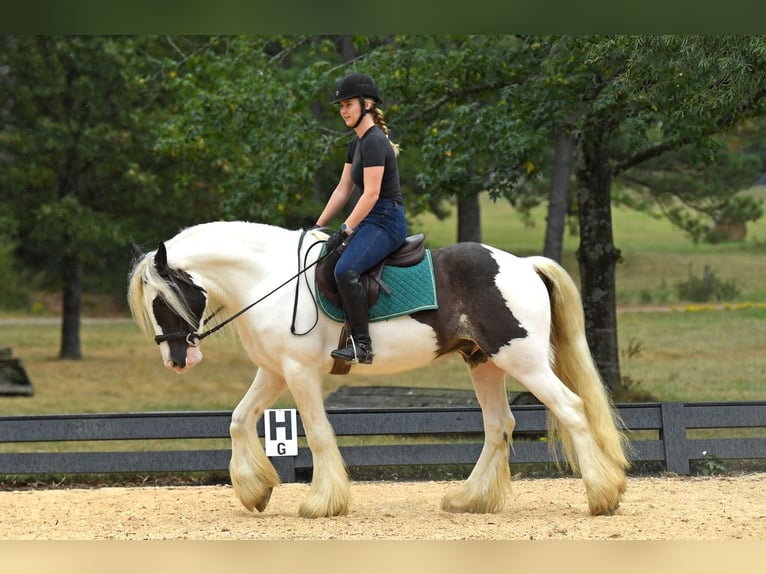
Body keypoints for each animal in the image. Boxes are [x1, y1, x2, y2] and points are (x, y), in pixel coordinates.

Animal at [127, 223, 632, 520]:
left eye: (162, 300)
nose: (177, 360)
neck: (268, 279)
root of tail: (522, 265)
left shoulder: (298, 372)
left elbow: (318, 433)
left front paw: (322, 502)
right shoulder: (273, 372)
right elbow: (237, 420)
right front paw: (256, 490)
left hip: (522, 360)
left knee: (571, 409)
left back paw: (602, 496)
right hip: (483, 362)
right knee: (499, 425)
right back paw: (469, 499)